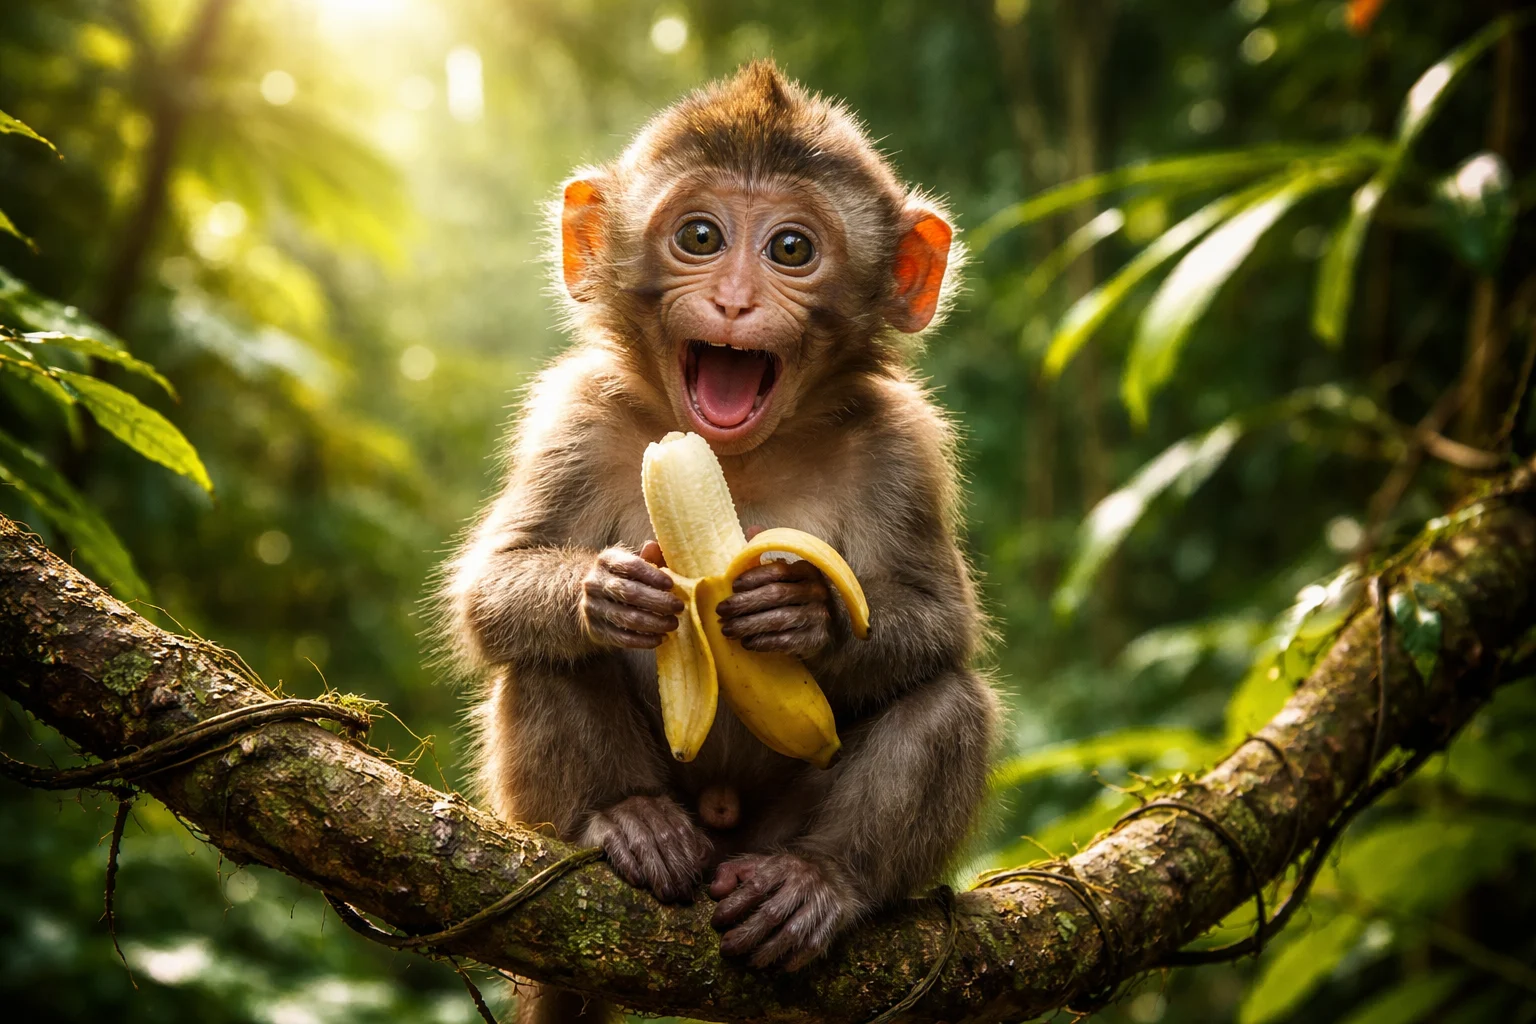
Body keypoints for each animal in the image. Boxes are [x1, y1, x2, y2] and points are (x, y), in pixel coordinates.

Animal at [442, 61, 998, 1024]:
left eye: (791, 249)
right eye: (700, 236)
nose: (735, 300)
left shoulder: (904, 447)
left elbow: (939, 621)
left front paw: (801, 613)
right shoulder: (572, 417)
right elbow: (493, 589)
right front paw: (605, 593)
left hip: (767, 837)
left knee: (947, 698)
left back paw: (820, 881)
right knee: (541, 660)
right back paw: (626, 819)